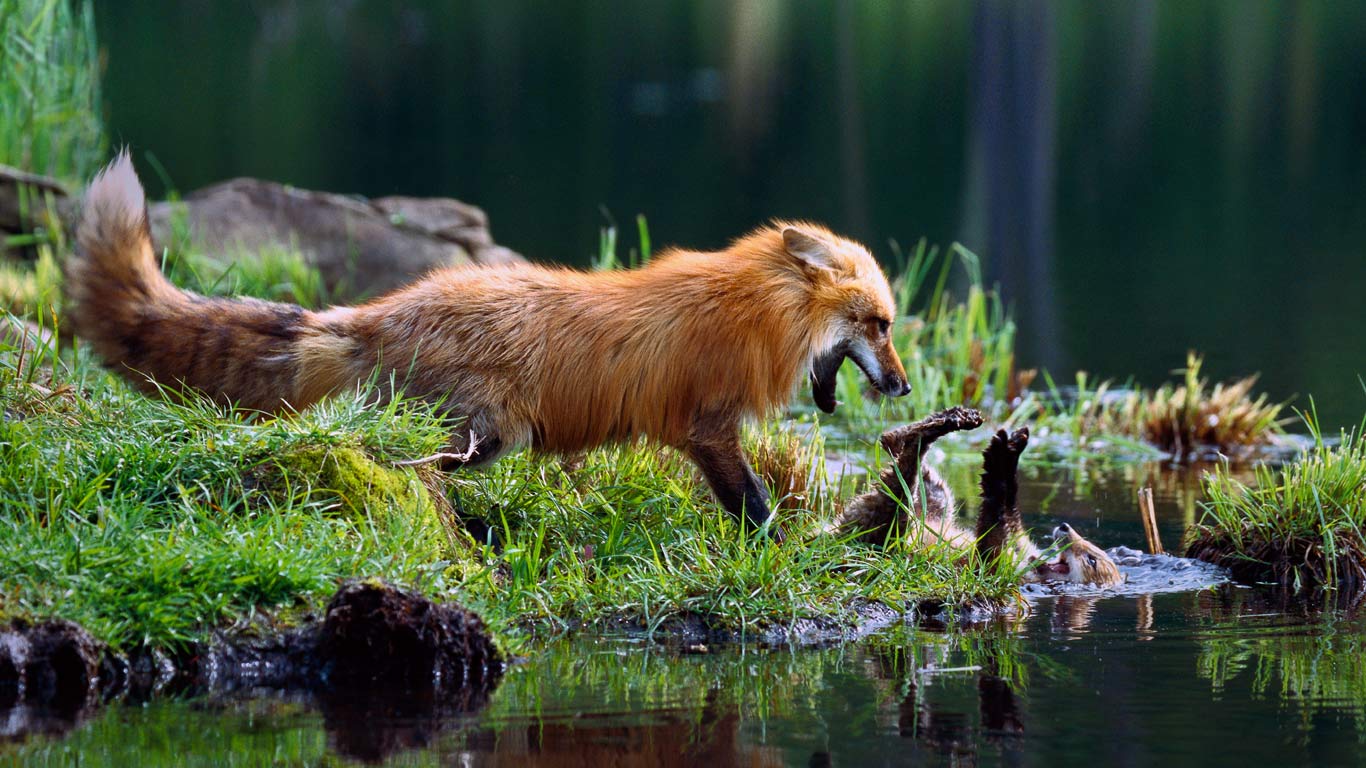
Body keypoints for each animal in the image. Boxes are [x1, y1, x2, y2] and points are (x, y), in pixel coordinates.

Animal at [65, 152, 910, 537]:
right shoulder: (708, 428)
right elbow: (755, 505)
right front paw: (782, 548)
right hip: (481, 434)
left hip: (483, 437)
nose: (904, 389)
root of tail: (380, 312)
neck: (755, 311)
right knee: (407, 462)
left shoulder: (704, 432)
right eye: (880, 324)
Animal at [834, 407, 1123, 586]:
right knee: (927, 489)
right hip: (927, 508)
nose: (1065, 527)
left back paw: (922, 437)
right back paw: (923, 432)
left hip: (884, 528)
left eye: (1092, 559)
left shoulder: (994, 568)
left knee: (899, 488)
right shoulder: (1019, 545)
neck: (1029, 565)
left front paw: (999, 461)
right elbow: (1011, 518)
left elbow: (991, 532)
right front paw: (1010, 453)